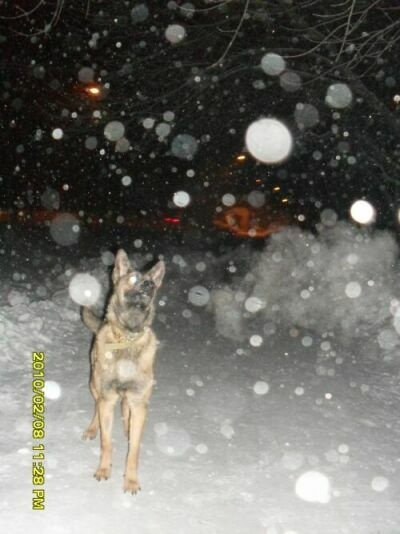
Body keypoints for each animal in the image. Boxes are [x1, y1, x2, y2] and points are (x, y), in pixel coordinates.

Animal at [82, 249, 165, 493]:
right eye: (134, 278)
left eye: (152, 283)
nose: (148, 285)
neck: (128, 336)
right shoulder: (107, 397)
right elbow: (107, 441)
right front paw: (103, 469)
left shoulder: (139, 401)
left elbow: (134, 449)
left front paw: (131, 480)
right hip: (94, 384)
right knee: (96, 407)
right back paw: (92, 428)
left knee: (126, 410)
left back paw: (127, 426)